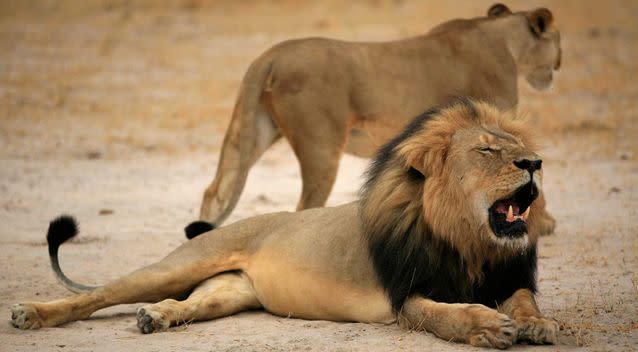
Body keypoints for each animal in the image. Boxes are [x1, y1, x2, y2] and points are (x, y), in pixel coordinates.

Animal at [10, 100, 560, 348]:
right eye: (487, 151)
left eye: (517, 147)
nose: (535, 163)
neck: (469, 242)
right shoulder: (407, 296)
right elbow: (448, 315)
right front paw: (488, 326)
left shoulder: (506, 276)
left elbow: (524, 299)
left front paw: (537, 324)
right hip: (179, 264)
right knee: (98, 295)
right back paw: (31, 314)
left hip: (228, 292)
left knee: (187, 304)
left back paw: (155, 319)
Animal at [192, 2, 564, 235]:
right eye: (558, 38)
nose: (560, 62)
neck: (505, 40)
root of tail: (270, 55)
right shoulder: (494, 123)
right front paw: (542, 223)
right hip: (320, 148)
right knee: (304, 207)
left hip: (255, 131)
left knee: (215, 190)